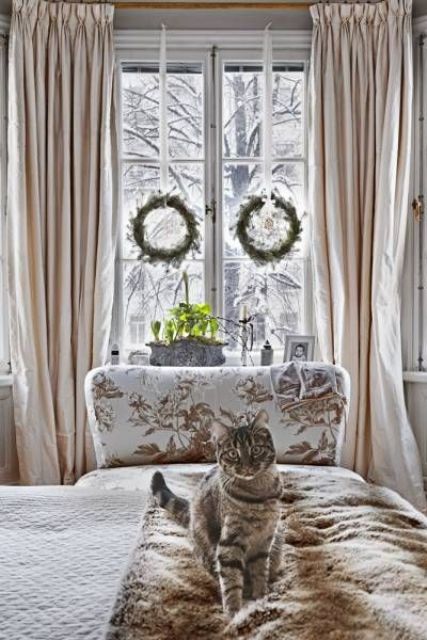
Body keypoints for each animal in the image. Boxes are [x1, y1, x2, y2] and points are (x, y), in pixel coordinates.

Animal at [151, 408, 284, 616]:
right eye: (233, 453)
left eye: (255, 449)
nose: (246, 466)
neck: (258, 494)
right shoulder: (229, 542)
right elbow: (231, 580)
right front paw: (234, 613)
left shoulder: (265, 540)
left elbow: (260, 571)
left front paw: (261, 597)